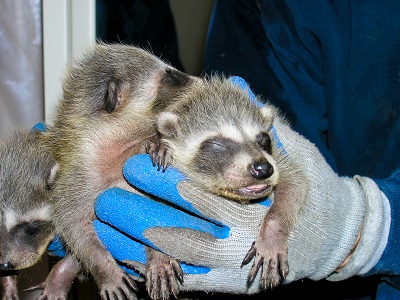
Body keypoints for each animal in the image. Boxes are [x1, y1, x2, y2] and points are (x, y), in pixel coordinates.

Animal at [148, 77, 308, 290]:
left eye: (264, 139)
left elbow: (296, 182)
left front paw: (272, 236)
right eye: (217, 144)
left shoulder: (280, 160)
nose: (263, 169)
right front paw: (157, 253)